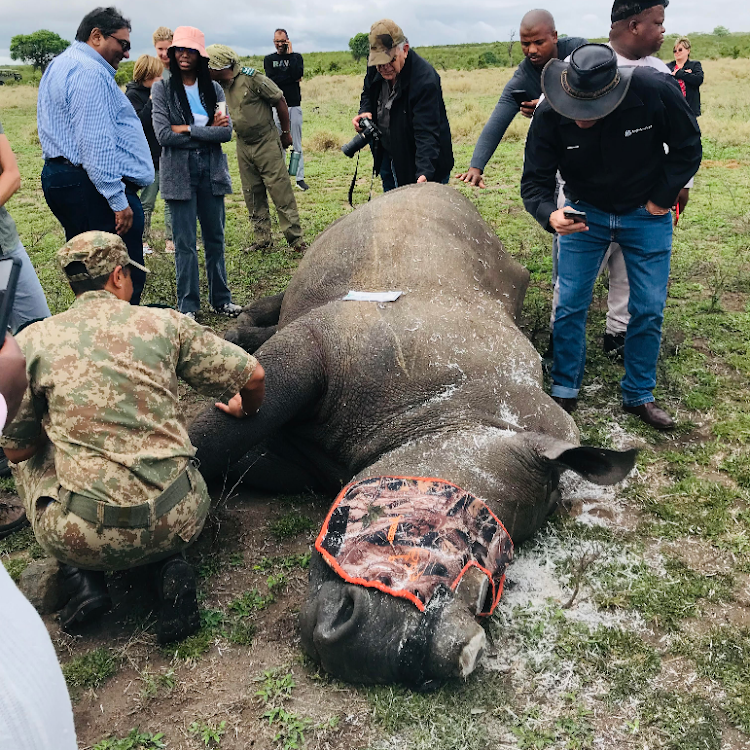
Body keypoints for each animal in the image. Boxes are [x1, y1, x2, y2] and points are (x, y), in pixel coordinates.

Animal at [191, 185, 636, 692]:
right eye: (451, 523)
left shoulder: (304, 459)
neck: (451, 411)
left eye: (490, 587)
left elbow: (224, 455)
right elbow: (212, 436)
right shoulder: (318, 345)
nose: (397, 650)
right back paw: (234, 329)